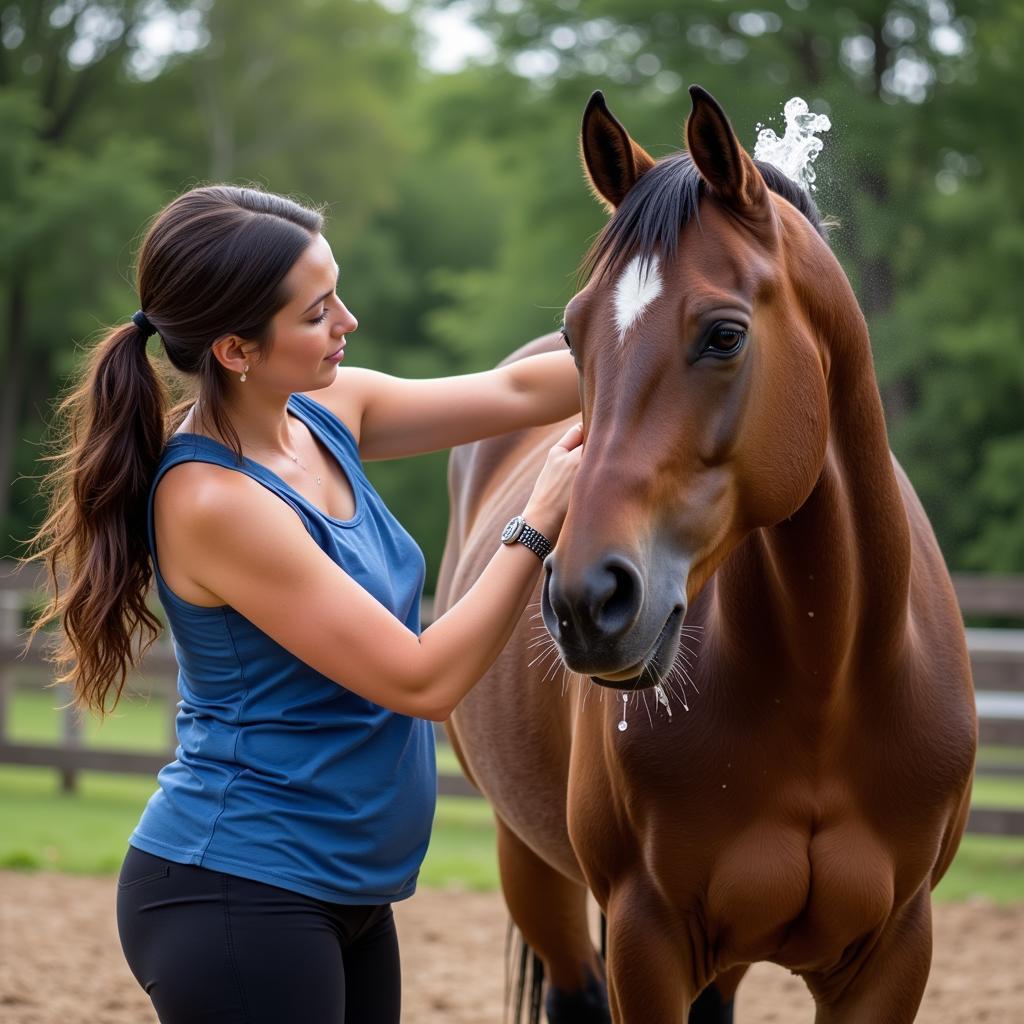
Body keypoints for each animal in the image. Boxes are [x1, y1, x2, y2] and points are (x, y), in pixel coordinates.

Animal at [434, 88, 974, 1024]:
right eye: (575, 337)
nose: (586, 601)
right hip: (529, 865)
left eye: (724, 336)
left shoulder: (894, 953)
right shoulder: (646, 940)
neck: (827, 684)